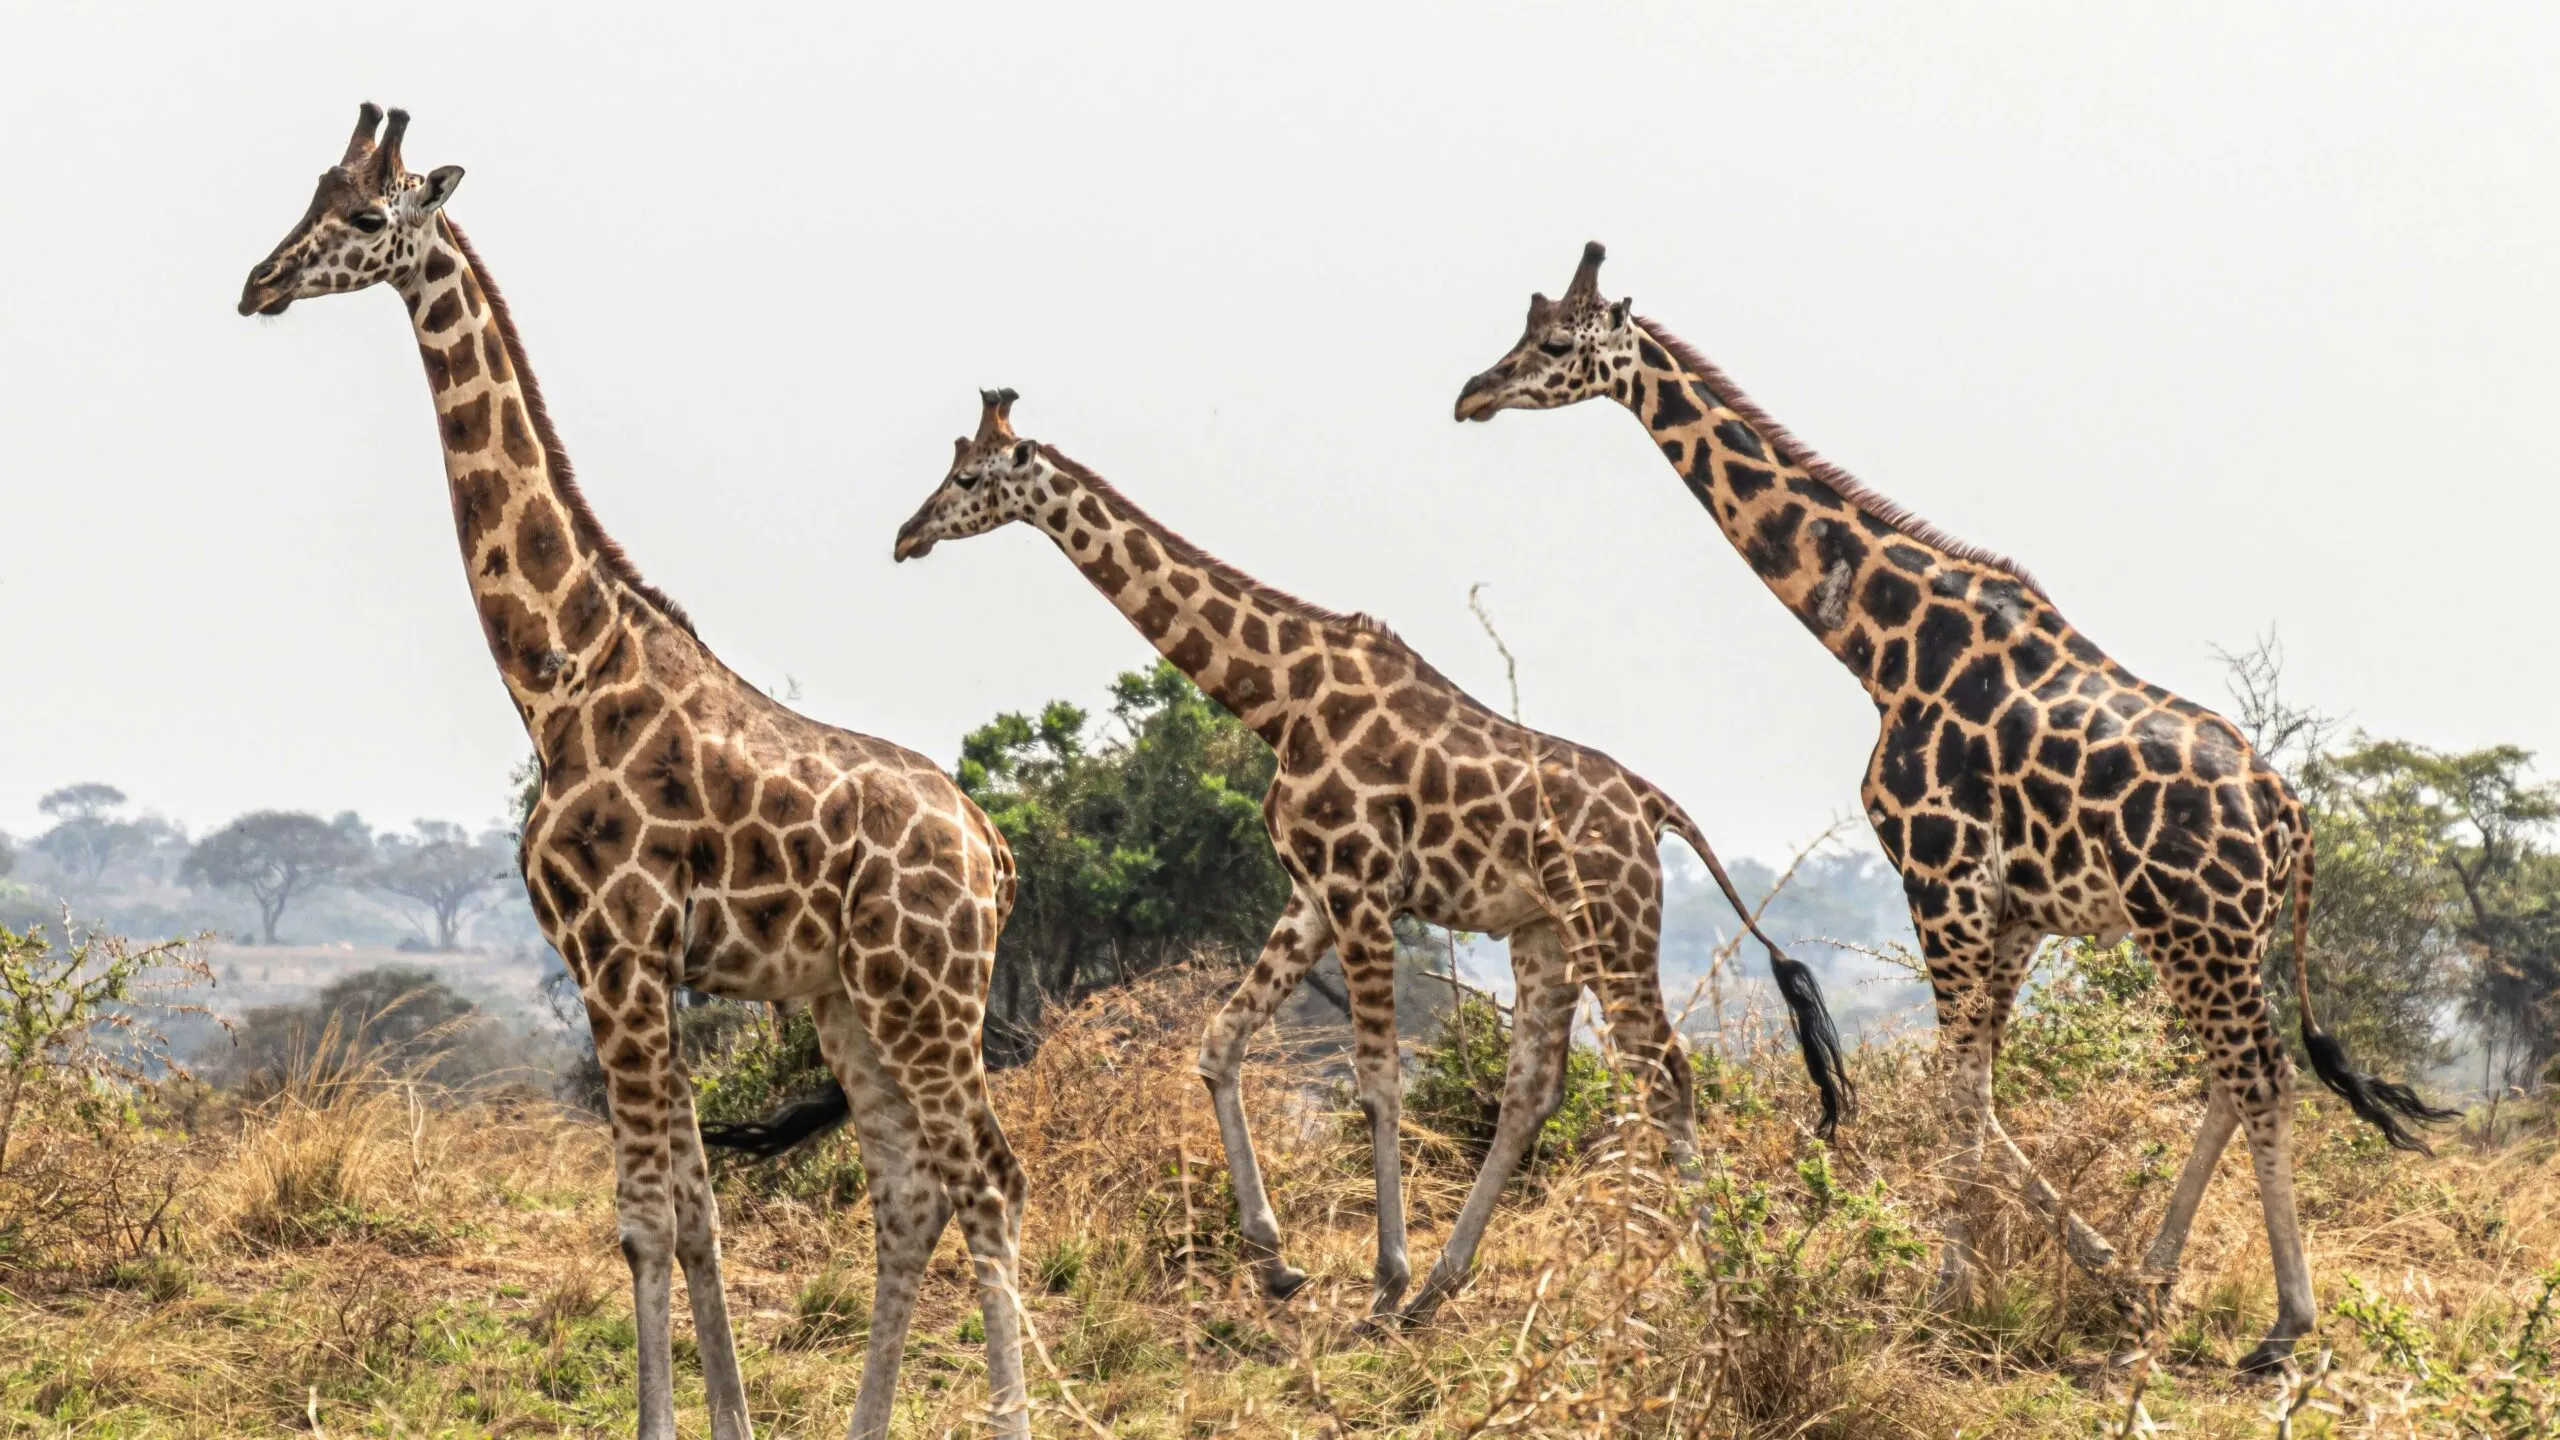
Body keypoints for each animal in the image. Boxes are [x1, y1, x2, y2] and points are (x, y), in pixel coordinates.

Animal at [236, 104, 1035, 1440]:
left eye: (365, 214)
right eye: (306, 195)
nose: (258, 282)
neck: (559, 678)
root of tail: (994, 847)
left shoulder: (615, 950)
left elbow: (647, 1219)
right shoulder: (635, 964)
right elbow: (696, 1211)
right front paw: (728, 1419)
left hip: (928, 993)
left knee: (991, 1182)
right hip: (852, 1000)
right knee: (908, 1191)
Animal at [870, 387, 1850, 1326]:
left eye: (968, 478)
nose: (906, 536)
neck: (1277, 698)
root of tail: (1653, 806)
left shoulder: (1362, 888)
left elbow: (1379, 1083)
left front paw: (1380, 1277)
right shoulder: (1310, 893)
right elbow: (1221, 1041)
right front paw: (1275, 1260)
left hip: (1613, 921)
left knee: (1666, 1073)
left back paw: (1719, 1272)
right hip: (1546, 931)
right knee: (1535, 1089)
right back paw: (1445, 1287)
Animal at [1453, 242, 2459, 1371]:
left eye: (1553, 343)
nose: (1471, 394)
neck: (1880, 647)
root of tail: (2290, 815)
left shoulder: (1937, 876)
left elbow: (1953, 1087)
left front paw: (1947, 1292)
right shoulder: (2009, 908)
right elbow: (1975, 1085)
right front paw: (2092, 1272)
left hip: (2194, 925)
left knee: (2261, 1075)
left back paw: (2285, 1321)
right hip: (2204, 934)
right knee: (2228, 1076)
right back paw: (2158, 1279)